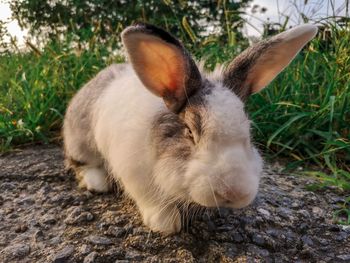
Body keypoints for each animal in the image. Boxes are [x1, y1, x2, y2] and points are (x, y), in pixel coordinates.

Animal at [63, 22, 318, 233]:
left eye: (249, 133)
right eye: (189, 132)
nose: (234, 193)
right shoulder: (134, 173)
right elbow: (151, 200)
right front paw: (166, 223)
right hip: (80, 141)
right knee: (80, 163)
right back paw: (98, 183)